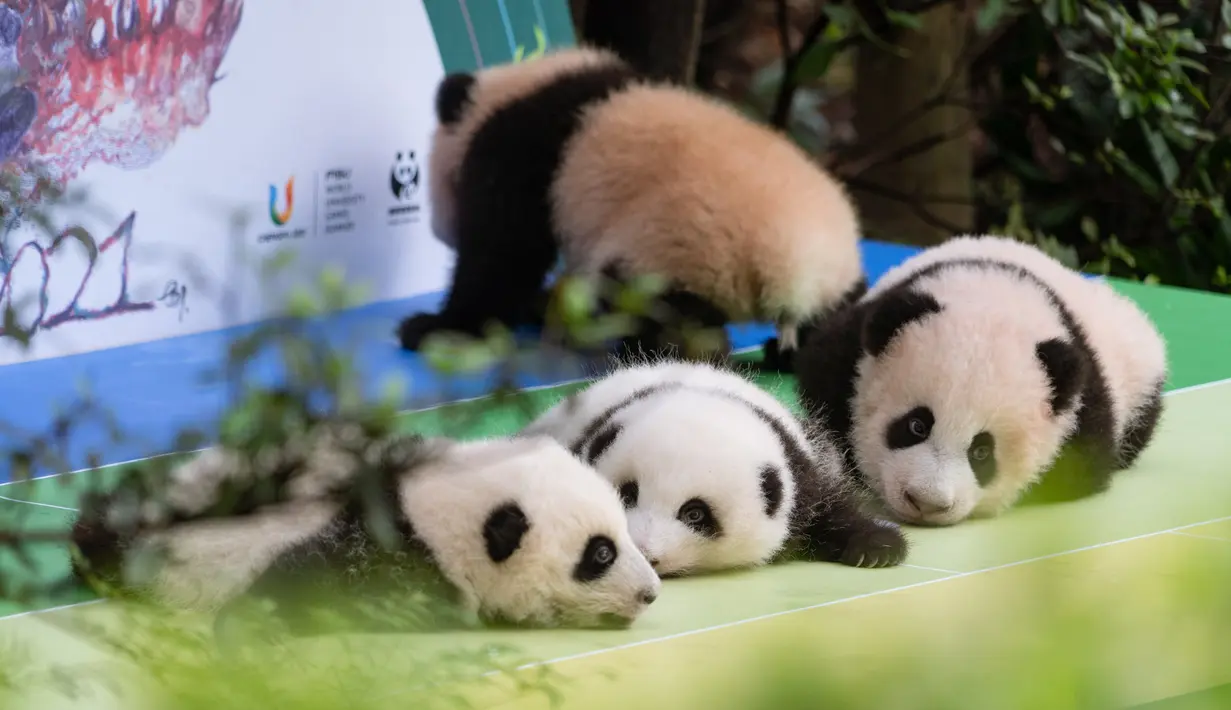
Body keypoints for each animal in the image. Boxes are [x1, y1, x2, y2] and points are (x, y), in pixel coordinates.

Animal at [402, 45, 864, 368]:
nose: (438, 231)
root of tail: (792, 268)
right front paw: (544, 307)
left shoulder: (521, 154)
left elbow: (502, 254)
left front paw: (435, 328)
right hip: (838, 281)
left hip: (679, 252)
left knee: (663, 321)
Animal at [521, 358, 909, 576]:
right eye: (626, 495)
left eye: (695, 514)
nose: (644, 552)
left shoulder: (802, 466)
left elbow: (828, 504)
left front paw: (879, 548)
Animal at [793, 235, 1168, 526]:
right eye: (916, 425)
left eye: (982, 452)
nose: (925, 502)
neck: (994, 296)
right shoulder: (849, 353)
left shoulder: (1085, 414)